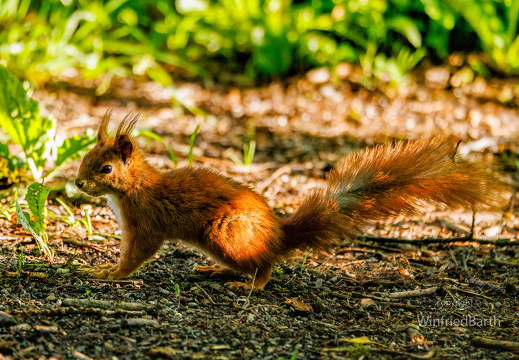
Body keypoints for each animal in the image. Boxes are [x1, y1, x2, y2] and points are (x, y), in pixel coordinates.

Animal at [76, 111, 508, 288]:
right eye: (85, 158)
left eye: (106, 169)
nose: (78, 183)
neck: (133, 189)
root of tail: (278, 236)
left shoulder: (145, 223)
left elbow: (136, 255)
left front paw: (109, 274)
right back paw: (217, 272)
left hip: (226, 235)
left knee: (265, 266)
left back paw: (250, 285)